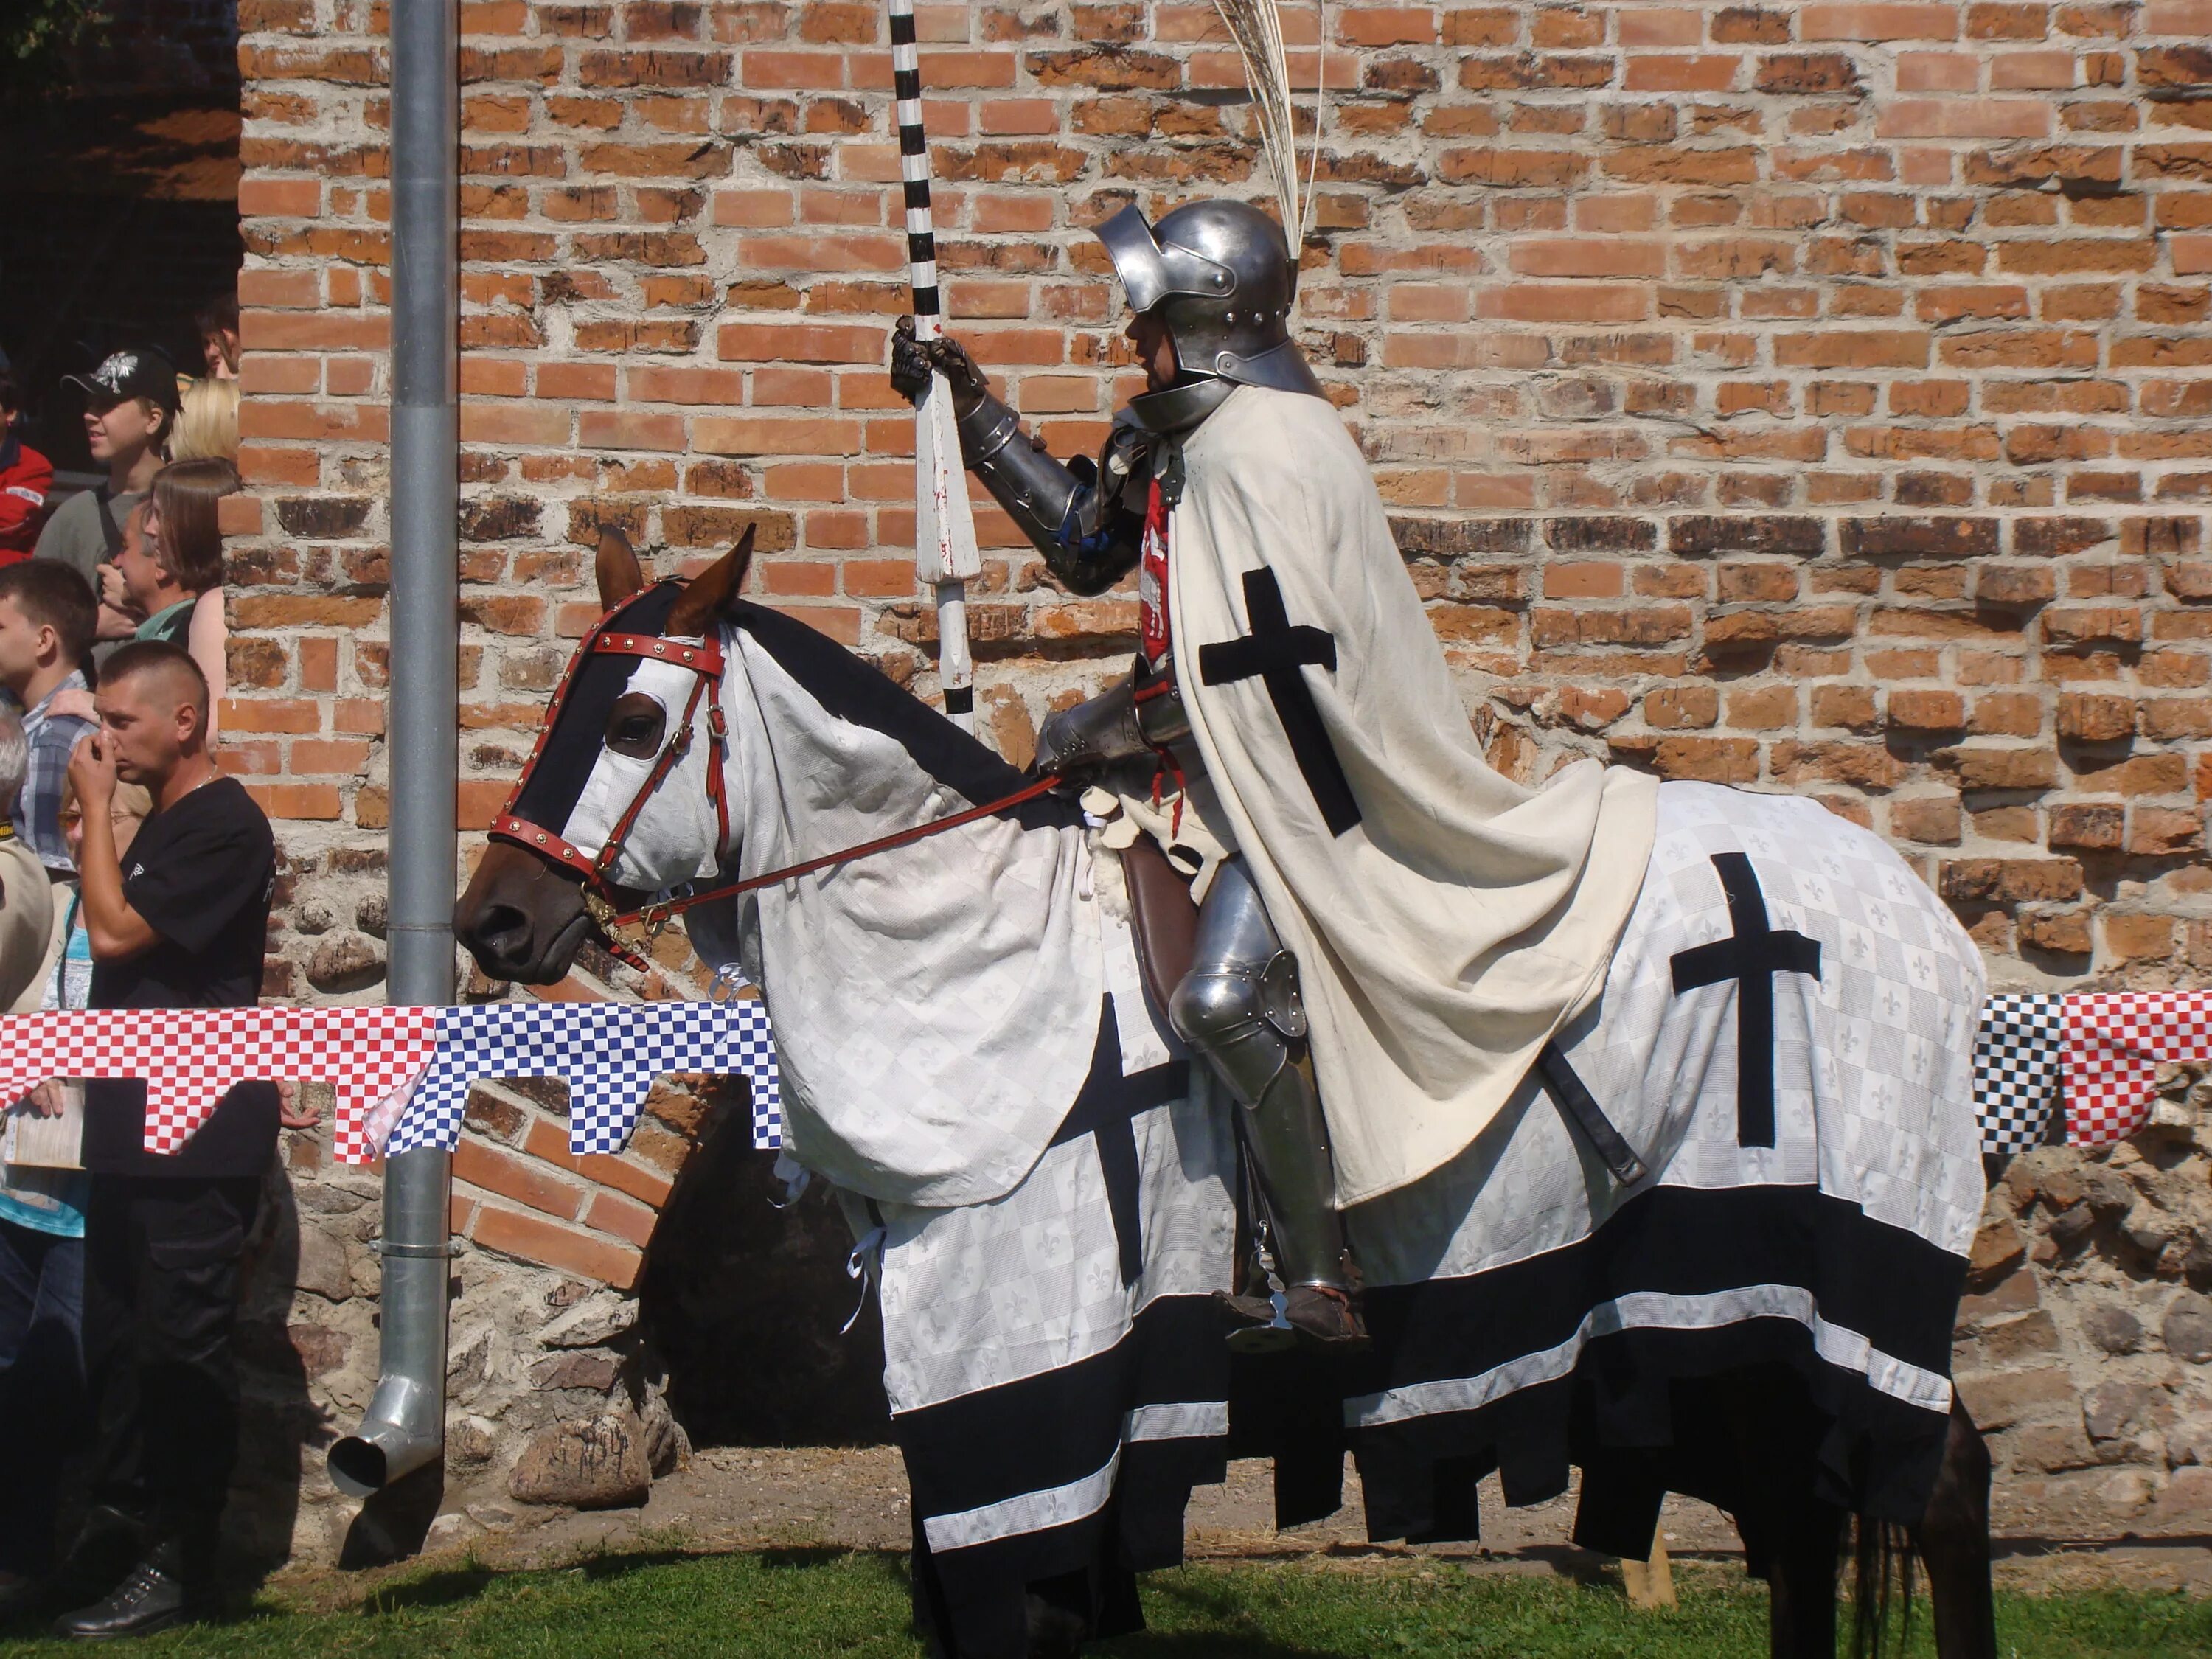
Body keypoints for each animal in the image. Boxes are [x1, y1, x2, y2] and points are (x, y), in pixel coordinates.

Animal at [462, 535, 2008, 1659]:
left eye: (639, 719)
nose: (497, 921)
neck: (977, 945)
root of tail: (1903, 902)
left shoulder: (1036, 1386)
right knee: (1808, 1529)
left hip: (1815, 1269)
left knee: (1931, 1485)